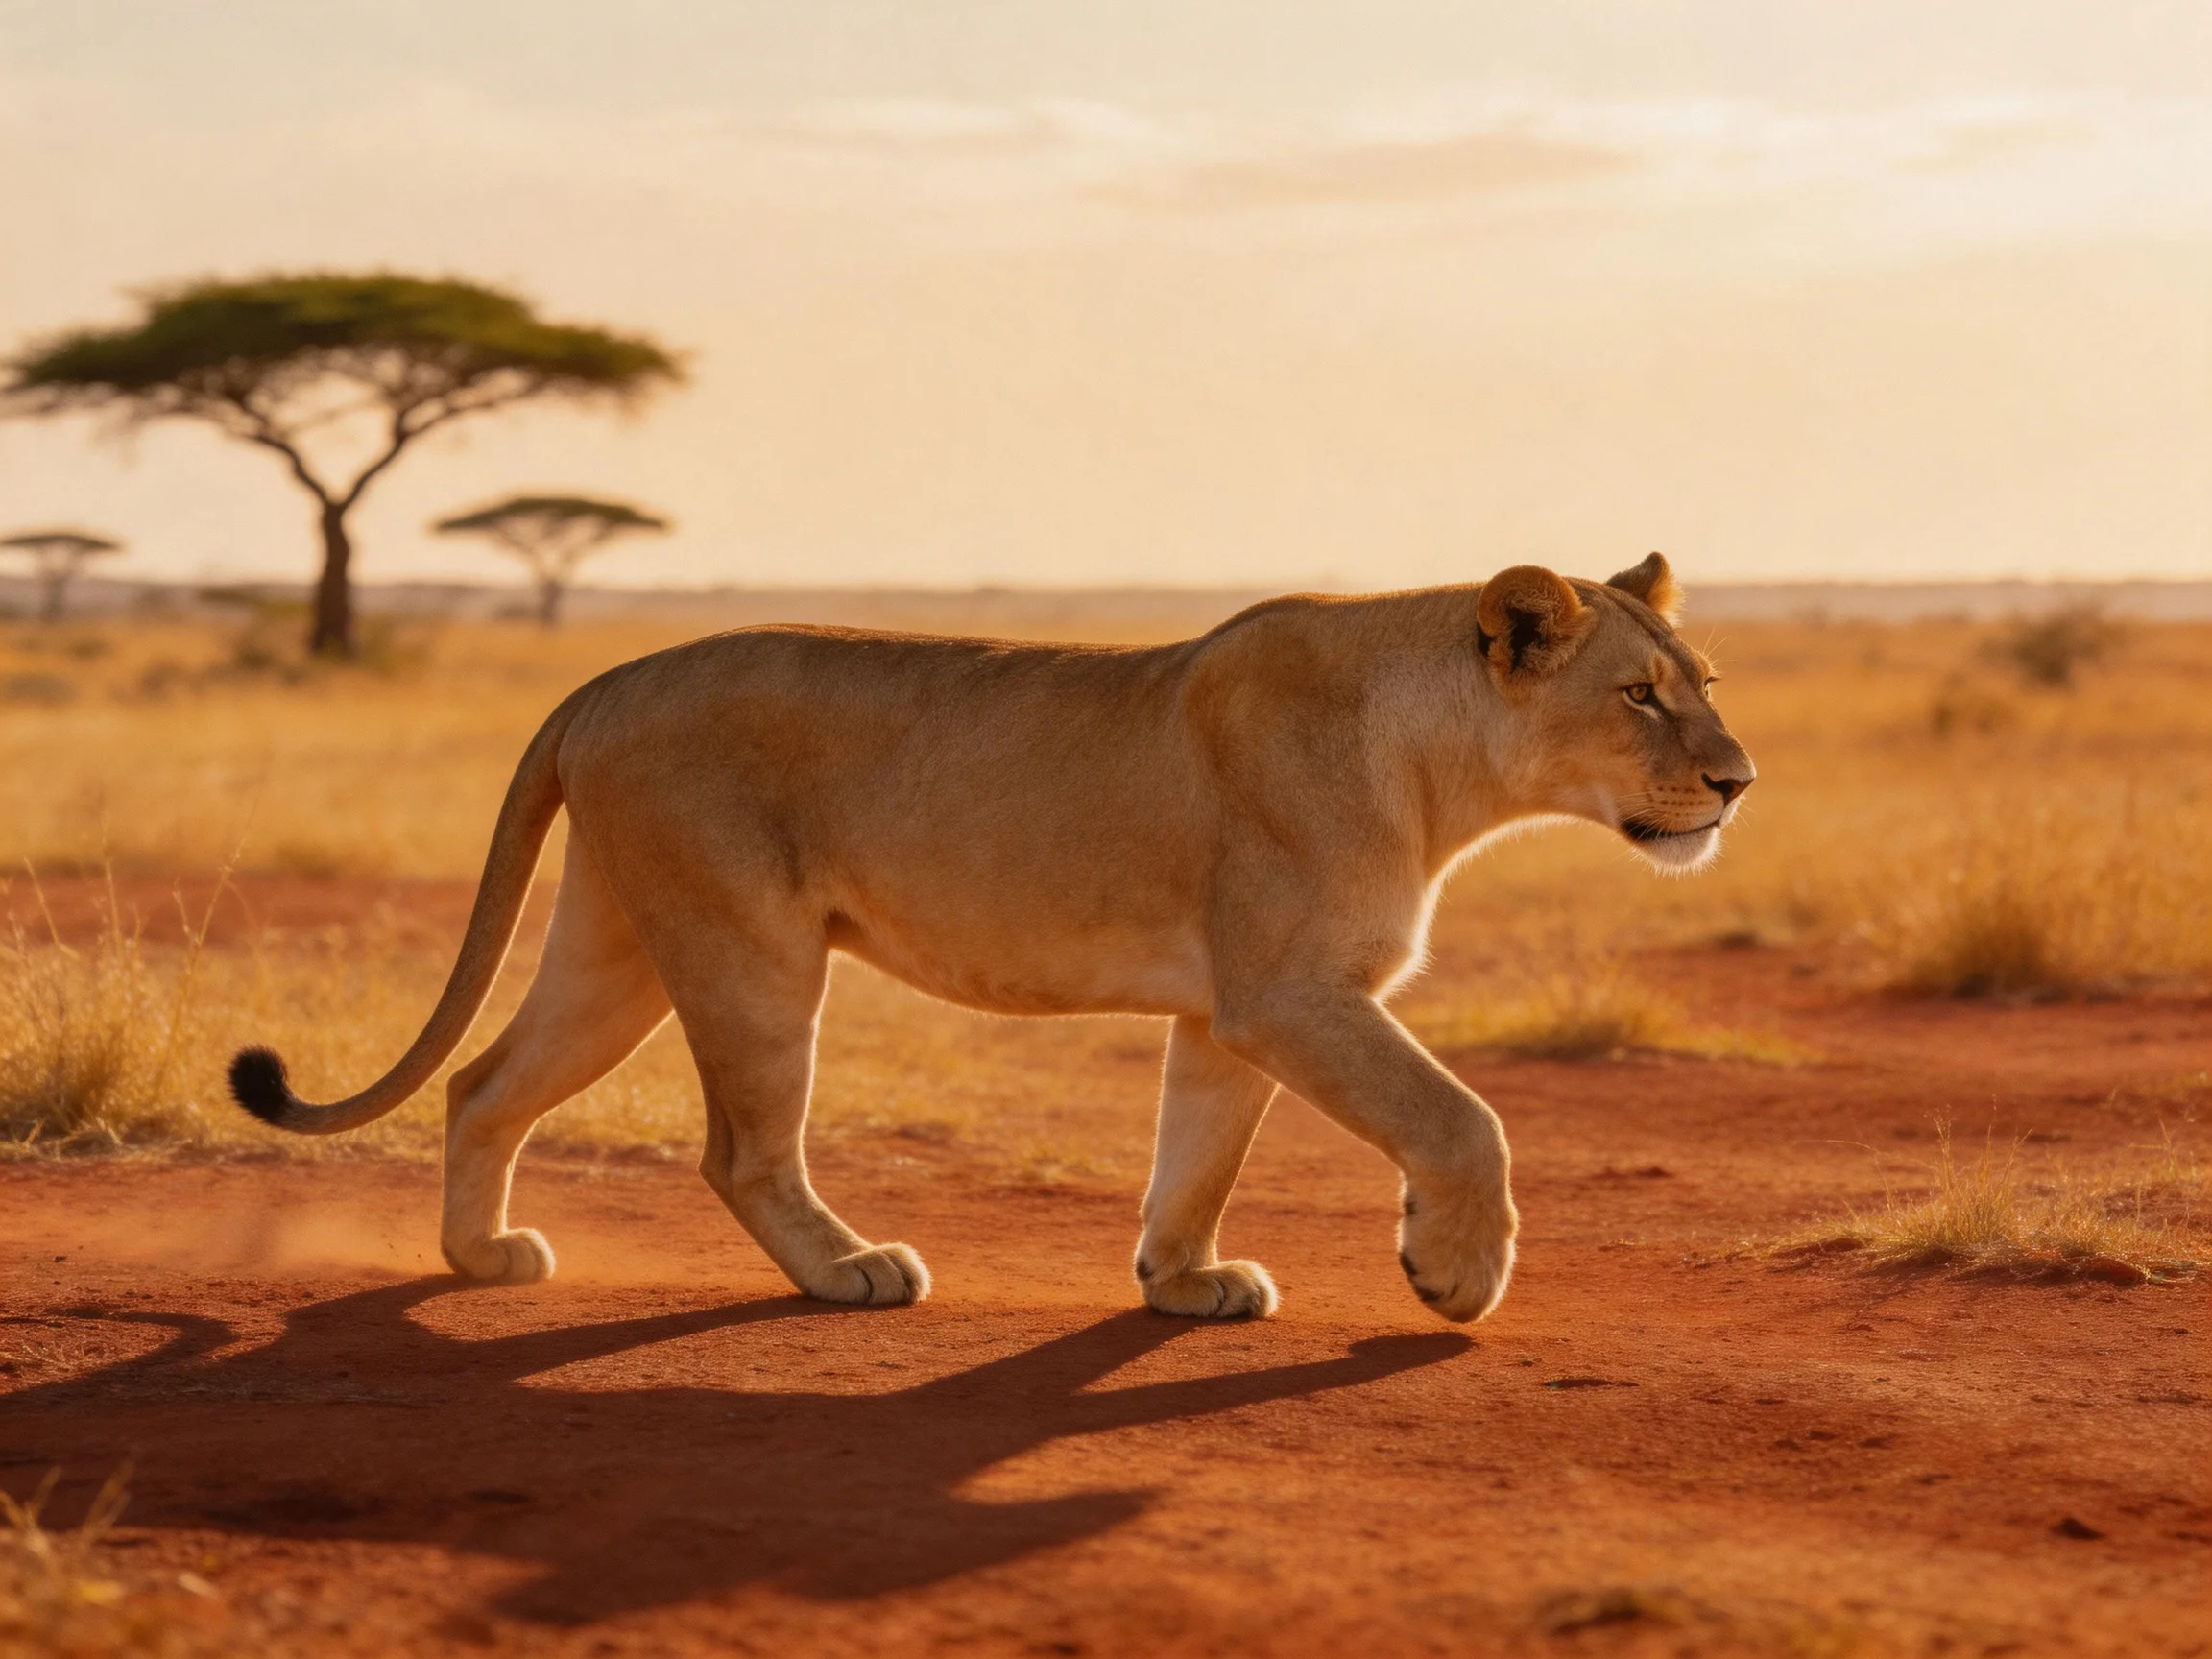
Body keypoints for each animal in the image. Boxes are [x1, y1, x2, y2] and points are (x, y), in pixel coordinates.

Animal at [230, 553, 1753, 1323]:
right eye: (1638, 696)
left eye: (1709, 683)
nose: (1738, 781)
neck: (1444, 769)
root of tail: (602, 678)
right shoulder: (1290, 992)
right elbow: (1461, 1119)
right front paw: (1457, 1272)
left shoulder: (1227, 1011)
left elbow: (1199, 1152)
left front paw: (1183, 1282)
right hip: (746, 949)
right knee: (739, 1148)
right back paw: (849, 1273)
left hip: (614, 945)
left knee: (484, 1082)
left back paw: (481, 1259)